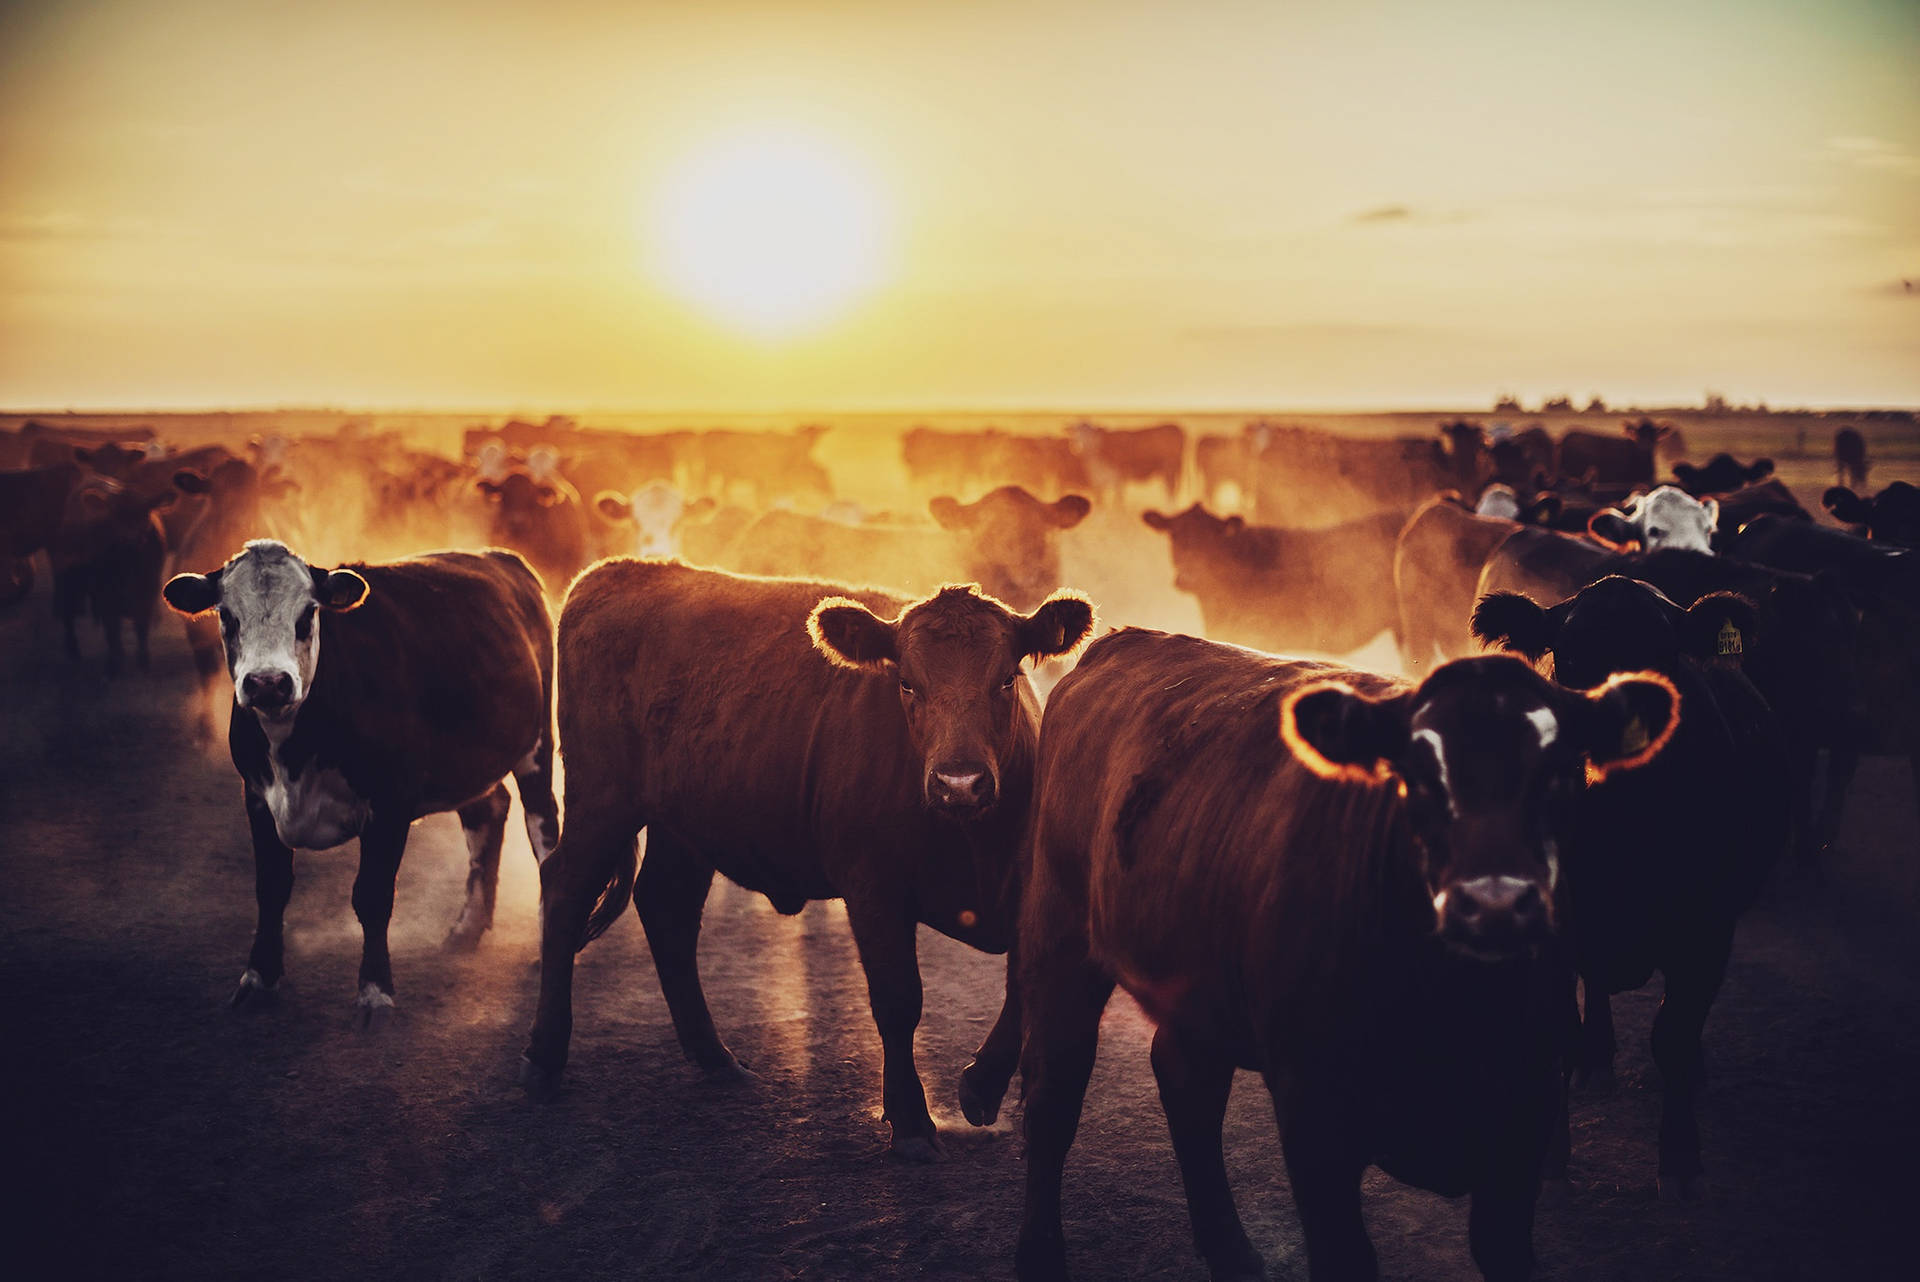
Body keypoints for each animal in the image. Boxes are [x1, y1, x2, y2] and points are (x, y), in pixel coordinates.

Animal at [162, 537, 560, 1028]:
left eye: (308, 614)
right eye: (227, 616)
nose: (268, 683)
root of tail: (498, 557)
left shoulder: (390, 803)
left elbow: (372, 896)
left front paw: (375, 990)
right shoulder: (255, 796)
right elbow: (271, 888)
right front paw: (259, 977)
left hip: (537, 746)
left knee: (544, 831)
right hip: (471, 758)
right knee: (487, 814)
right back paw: (466, 929)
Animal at [522, 564, 1098, 1159]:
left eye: (1007, 679)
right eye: (907, 683)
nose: (958, 781)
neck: (973, 841)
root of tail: (618, 572)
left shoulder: (1035, 889)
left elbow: (1022, 988)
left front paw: (980, 1089)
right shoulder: (872, 887)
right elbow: (898, 999)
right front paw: (912, 1123)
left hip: (683, 822)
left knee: (666, 908)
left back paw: (716, 1058)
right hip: (602, 797)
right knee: (565, 887)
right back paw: (545, 1058)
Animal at [1013, 633, 1674, 1282]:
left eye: (1561, 774)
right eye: (1416, 777)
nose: (1494, 904)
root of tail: (1118, 642)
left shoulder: (1527, 1111)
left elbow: (1504, 1248)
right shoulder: (1314, 1117)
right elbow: (1345, 1257)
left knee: (1186, 1083)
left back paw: (1232, 1253)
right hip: (1059, 935)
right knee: (1053, 1095)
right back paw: (1040, 1254)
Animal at [1474, 575, 1789, 1197]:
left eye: (1664, 661)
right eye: (1568, 659)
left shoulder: (1707, 928)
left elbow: (1672, 1033)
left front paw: (1681, 1158)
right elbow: (1560, 1033)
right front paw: (1551, 1154)